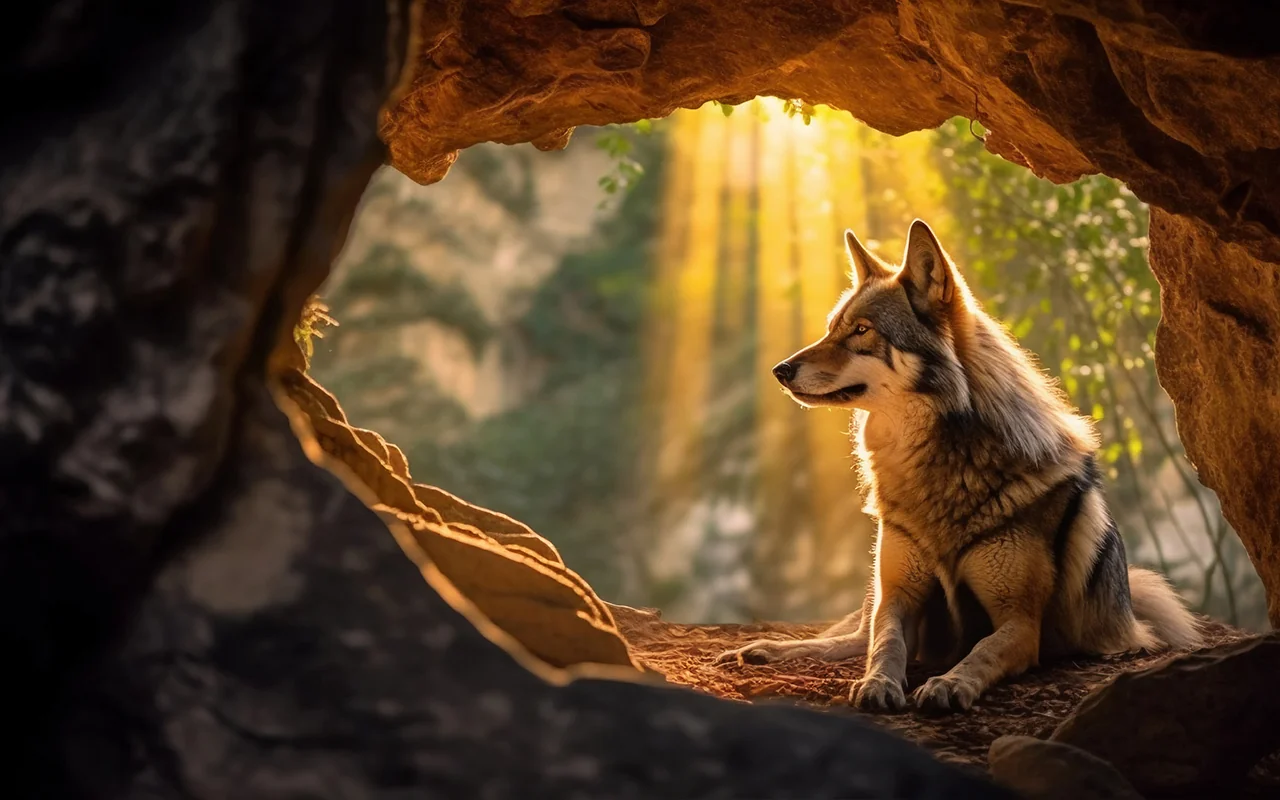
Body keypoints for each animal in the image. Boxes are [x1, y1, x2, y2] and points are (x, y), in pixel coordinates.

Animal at [716, 219, 1202, 713]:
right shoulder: (898, 597)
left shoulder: (1020, 622)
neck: (938, 469)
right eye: (832, 328)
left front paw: (948, 683)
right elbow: (884, 643)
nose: (780, 370)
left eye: (861, 330)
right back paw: (764, 650)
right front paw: (878, 683)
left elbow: (982, 651)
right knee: (850, 637)